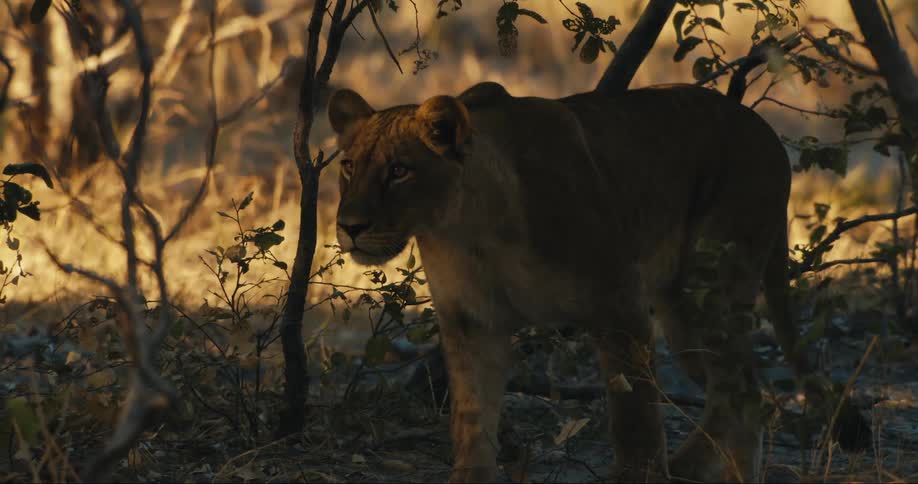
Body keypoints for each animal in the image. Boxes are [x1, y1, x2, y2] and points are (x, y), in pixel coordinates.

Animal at [327, 82, 796, 483]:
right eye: (348, 166)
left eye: (399, 171)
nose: (349, 226)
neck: (468, 229)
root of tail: (768, 132)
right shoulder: (471, 322)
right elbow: (472, 419)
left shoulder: (619, 302)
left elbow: (635, 412)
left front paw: (638, 475)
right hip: (682, 318)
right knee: (743, 393)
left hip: (710, 288)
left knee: (742, 390)